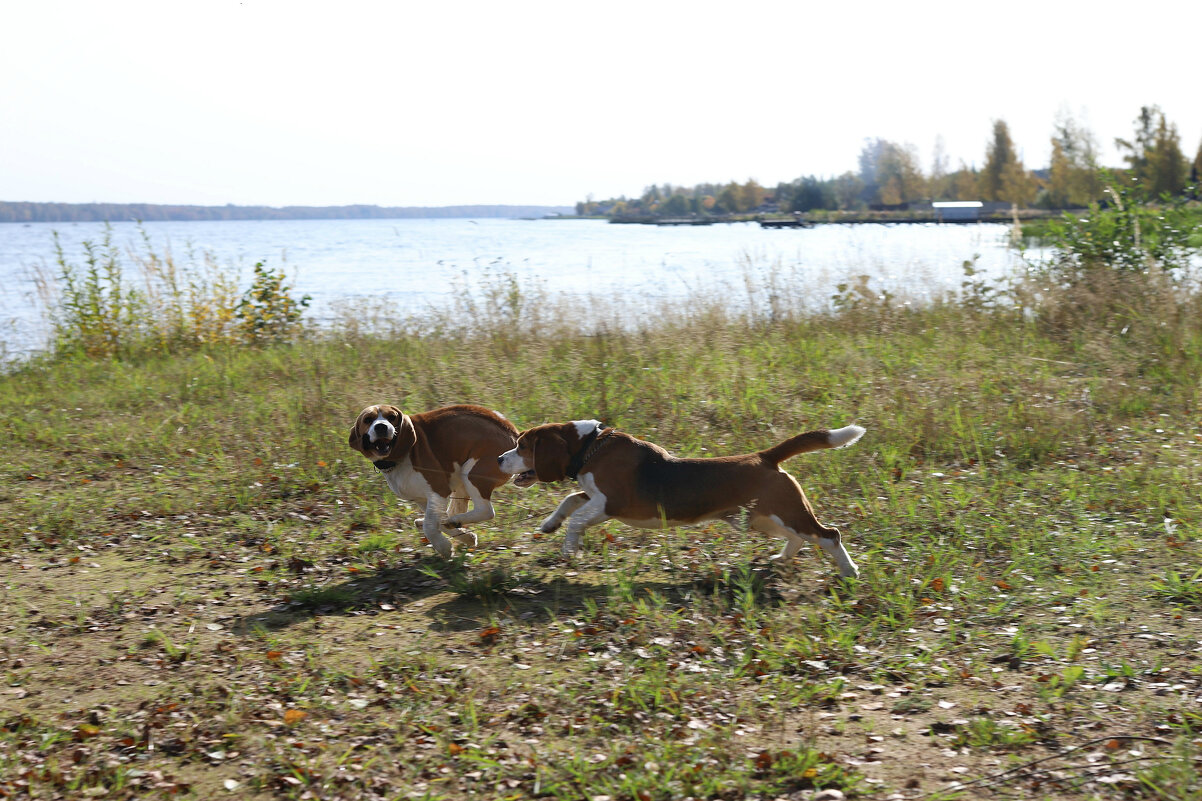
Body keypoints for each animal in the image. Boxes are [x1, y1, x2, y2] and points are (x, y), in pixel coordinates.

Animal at [348, 406, 516, 555]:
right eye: (368, 420)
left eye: (391, 417)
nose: (381, 426)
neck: (398, 459)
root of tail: (513, 434)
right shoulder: (422, 499)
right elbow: (437, 521)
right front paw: (467, 537)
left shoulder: (439, 491)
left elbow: (430, 526)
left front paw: (444, 548)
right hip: (461, 481)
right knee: (452, 512)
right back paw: (447, 521)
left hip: (470, 474)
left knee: (485, 511)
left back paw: (454, 521)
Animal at [495, 418, 865, 574]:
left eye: (523, 446)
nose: (499, 459)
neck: (590, 447)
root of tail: (765, 456)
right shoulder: (593, 497)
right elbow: (570, 501)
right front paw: (549, 524)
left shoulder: (610, 502)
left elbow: (577, 519)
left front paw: (570, 548)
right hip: (762, 520)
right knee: (799, 538)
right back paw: (782, 558)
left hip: (786, 513)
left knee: (829, 535)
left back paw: (850, 572)